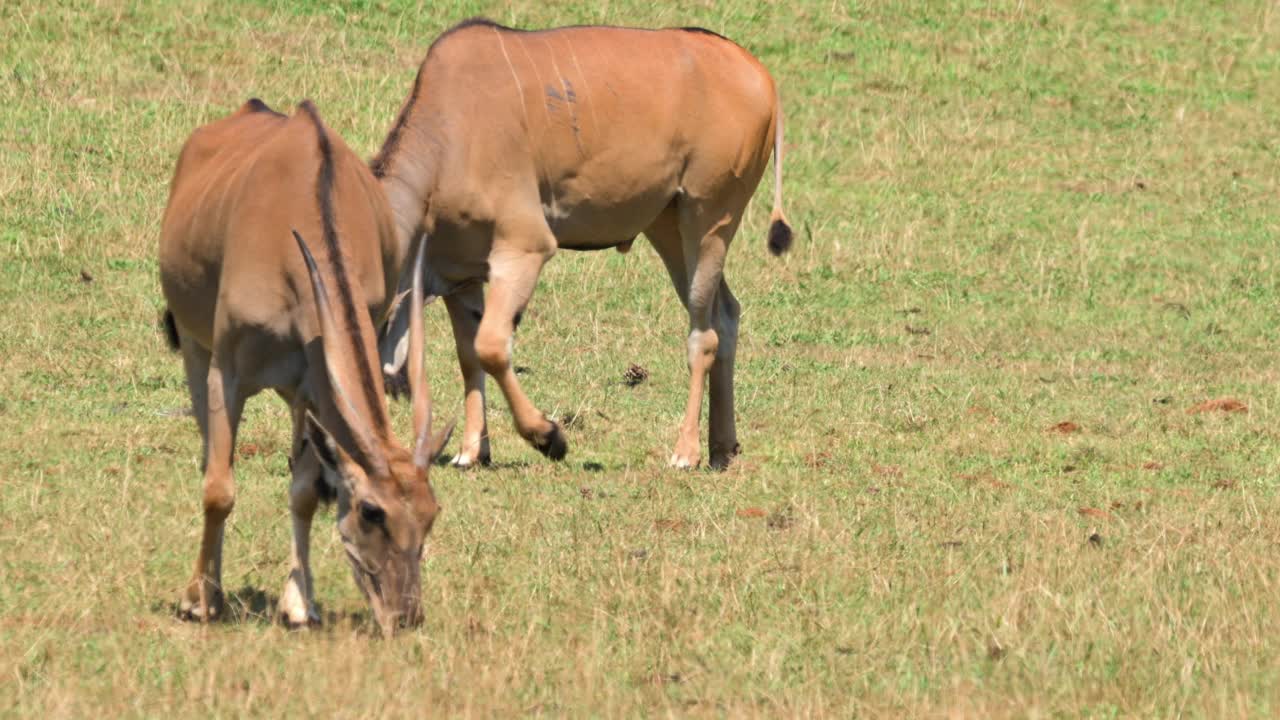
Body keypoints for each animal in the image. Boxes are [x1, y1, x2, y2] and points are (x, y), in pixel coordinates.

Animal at [158, 98, 448, 630]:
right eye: (372, 511)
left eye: (430, 512)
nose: (406, 616)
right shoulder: (227, 373)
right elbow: (218, 488)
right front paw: (199, 600)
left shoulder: (316, 387)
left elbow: (305, 491)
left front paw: (299, 604)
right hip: (193, 345)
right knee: (211, 457)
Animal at [373, 19, 788, 468]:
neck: (446, 136)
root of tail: (759, 74)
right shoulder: (459, 276)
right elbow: (469, 354)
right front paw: (472, 452)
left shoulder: (525, 248)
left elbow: (491, 346)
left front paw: (548, 437)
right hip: (669, 228)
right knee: (726, 313)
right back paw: (722, 447)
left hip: (708, 218)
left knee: (704, 333)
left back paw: (686, 451)